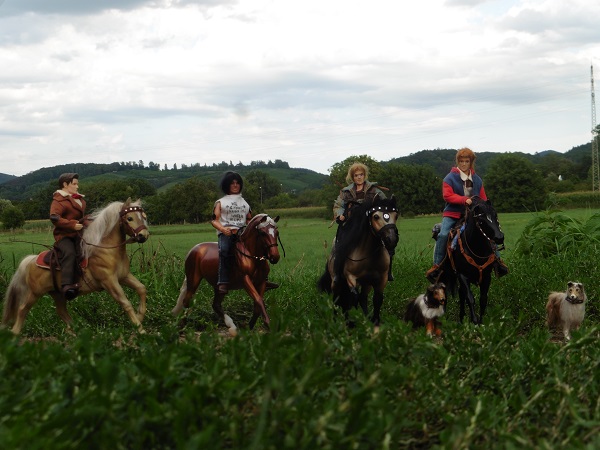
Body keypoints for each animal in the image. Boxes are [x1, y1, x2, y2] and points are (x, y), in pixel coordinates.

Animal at [2, 198, 149, 335]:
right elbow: (126, 303)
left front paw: (140, 316)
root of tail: (31, 260)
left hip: (57, 294)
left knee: (61, 311)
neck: (106, 249)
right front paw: (140, 328)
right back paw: (15, 333)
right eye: (129, 218)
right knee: (22, 309)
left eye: (144, 216)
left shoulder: (124, 277)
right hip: (34, 293)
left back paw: (75, 332)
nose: (143, 236)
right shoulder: (109, 282)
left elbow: (141, 289)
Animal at [318, 196, 399, 327]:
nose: (391, 239)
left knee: (362, 298)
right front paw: (351, 322)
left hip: (366, 283)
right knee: (337, 298)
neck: (368, 254)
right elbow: (353, 298)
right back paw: (336, 320)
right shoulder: (351, 277)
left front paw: (375, 322)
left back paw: (366, 319)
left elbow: (377, 299)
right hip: (336, 282)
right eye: (376, 216)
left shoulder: (382, 279)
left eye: (396, 216)